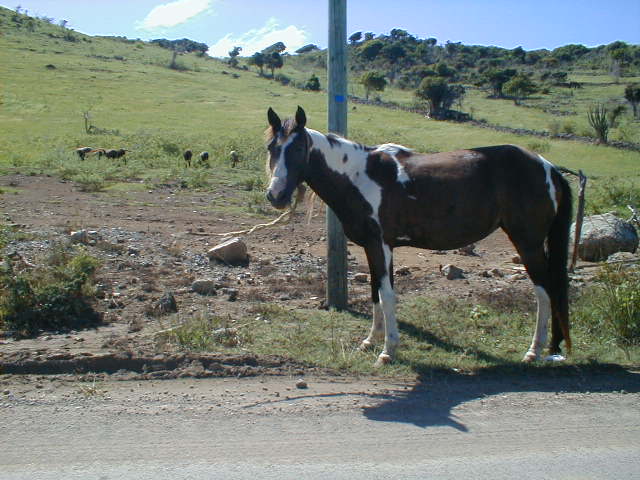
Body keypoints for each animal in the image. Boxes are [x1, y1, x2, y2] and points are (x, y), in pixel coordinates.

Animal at [265, 106, 572, 367]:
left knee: (544, 292)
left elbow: (387, 295)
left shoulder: (381, 245)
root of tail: (548, 167)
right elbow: (376, 291)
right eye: (272, 148)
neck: (360, 176)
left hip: (528, 243)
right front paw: (370, 341)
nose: (275, 195)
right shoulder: (373, 247)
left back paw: (533, 351)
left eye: (300, 148)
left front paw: (388, 350)